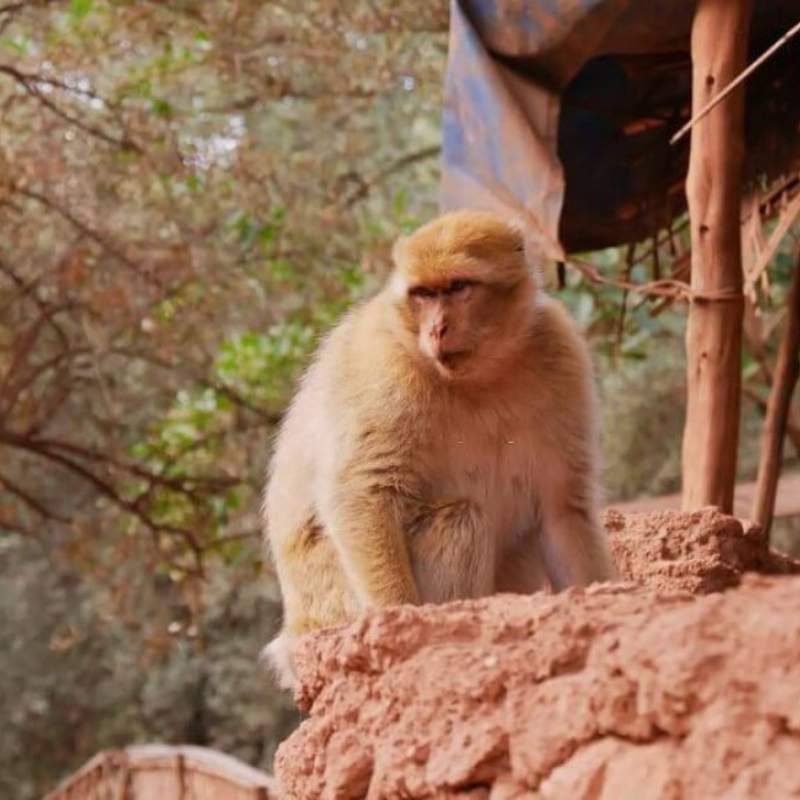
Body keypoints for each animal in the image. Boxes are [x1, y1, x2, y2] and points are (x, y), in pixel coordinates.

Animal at [266, 209, 616, 684]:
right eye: (423, 294)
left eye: (458, 288)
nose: (436, 329)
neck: (481, 376)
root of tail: (294, 635)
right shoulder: (383, 366)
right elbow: (363, 490)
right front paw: (398, 620)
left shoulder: (561, 353)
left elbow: (561, 507)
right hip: (335, 604)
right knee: (462, 519)